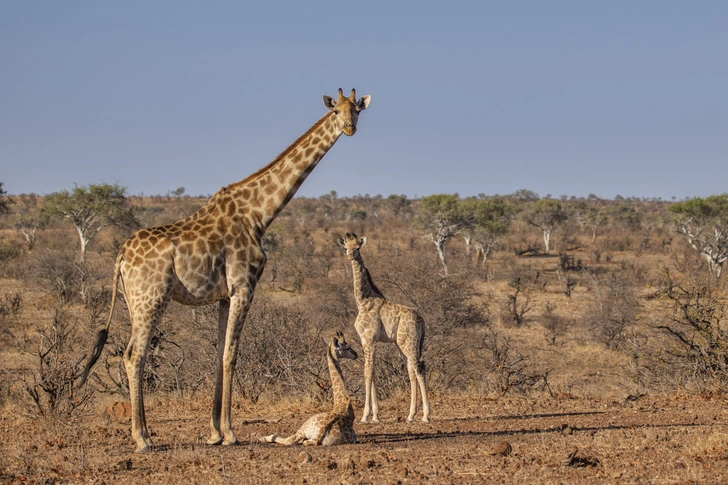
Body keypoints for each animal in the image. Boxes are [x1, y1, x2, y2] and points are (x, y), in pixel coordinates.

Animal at [79, 89, 370, 452]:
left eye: (357, 110)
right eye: (336, 111)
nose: (349, 128)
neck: (258, 214)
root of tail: (119, 257)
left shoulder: (223, 296)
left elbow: (218, 354)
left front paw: (215, 432)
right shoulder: (244, 287)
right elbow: (231, 355)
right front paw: (230, 433)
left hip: (135, 302)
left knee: (133, 353)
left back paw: (145, 432)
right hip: (151, 299)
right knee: (134, 355)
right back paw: (142, 438)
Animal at [338, 233, 430, 422]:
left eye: (357, 247)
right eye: (345, 247)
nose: (350, 255)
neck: (363, 301)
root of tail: (421, 320)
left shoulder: (369, 339)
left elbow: (367, 371)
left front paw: (365, 416)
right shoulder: (368, 341)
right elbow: (373, 370)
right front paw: (375, 416)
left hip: (409, 342)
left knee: (418, 368)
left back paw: (424, 415)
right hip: (404, 344)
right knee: (414, 369)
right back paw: (412, 415)